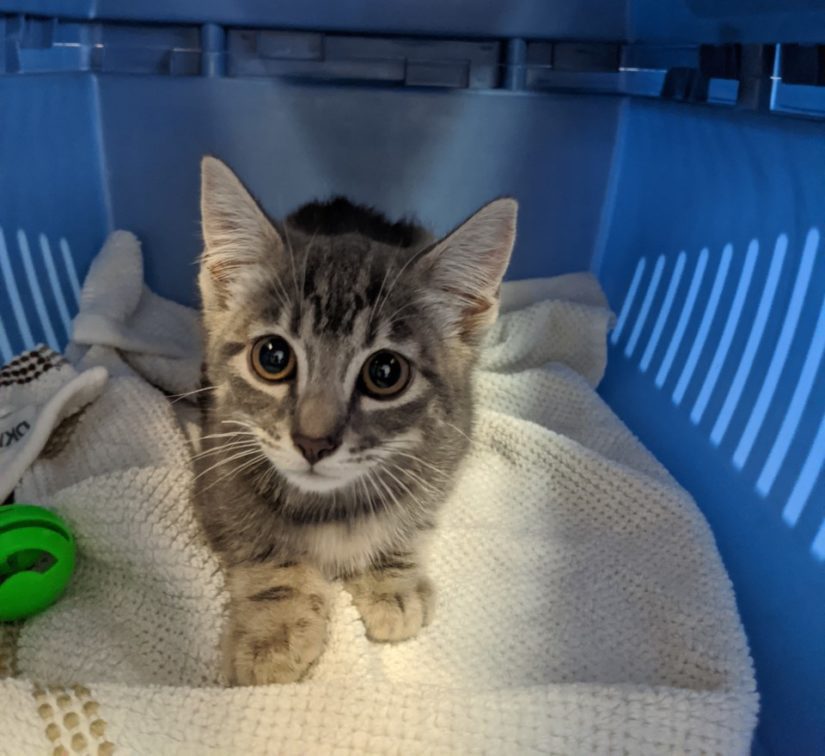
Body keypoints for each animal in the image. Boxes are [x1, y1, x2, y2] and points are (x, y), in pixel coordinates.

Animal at [193, 155, 516, 684]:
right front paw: (275, 628)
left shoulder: (445, 454)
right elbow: (264, 544)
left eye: (385, 372)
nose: (313, 441)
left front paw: (392, 576)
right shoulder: (218, 468)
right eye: (272, 356)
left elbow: (411, 517)